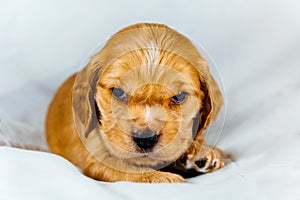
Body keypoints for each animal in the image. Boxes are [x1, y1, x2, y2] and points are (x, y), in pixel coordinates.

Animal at [46, 23, 225, 183]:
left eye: (179, 96)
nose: (145, 139)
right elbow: (126, 170)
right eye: (118, 92)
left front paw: (201, 152)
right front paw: (163, 178)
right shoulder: (96, 159)